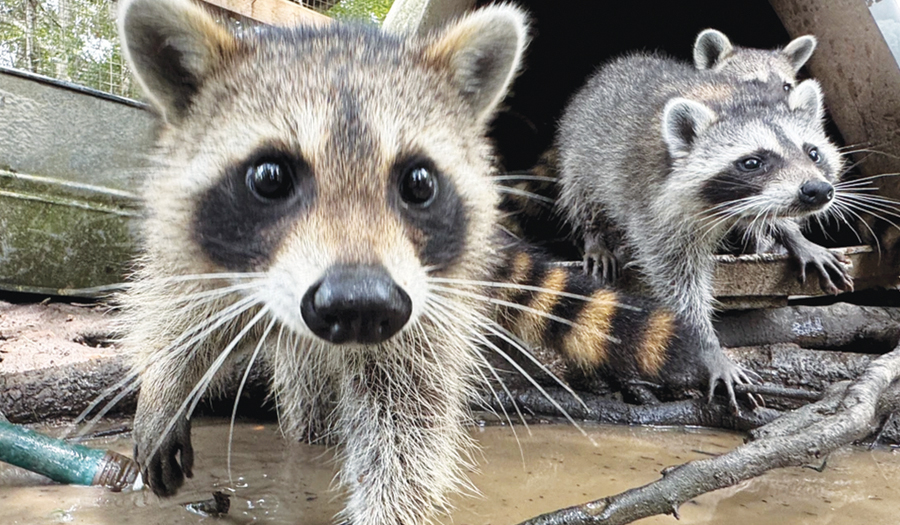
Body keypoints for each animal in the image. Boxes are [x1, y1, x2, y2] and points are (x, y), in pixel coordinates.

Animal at [116, 1, 709, 524]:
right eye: (269, 178)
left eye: (419, 183)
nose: (358, 305)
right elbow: (175, 308)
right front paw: (163, 388)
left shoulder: (423, 302)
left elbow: (407, 420)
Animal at [556, 53, 850, 402]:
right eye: (753, 162)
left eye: (813, 153)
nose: (817, 190)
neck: (735, 102)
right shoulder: (654, 205)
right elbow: (678, 281)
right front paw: (706, 345)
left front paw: (793, 235)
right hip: (581, 150)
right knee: (582, 193)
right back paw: (595, 238)